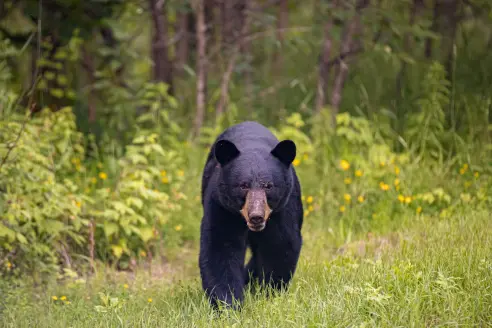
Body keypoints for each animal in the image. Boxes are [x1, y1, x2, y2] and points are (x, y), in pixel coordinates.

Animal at [199, 121, 304, 310]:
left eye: (268, 185)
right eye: (243, 185)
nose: (256, 216)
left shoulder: (284, 208)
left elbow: (280, 244)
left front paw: (270, 293)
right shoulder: (222, 205)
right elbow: (220, 247)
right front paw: (228, 304)